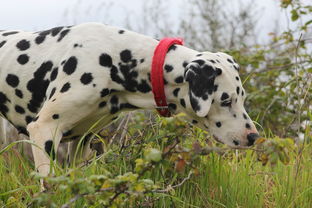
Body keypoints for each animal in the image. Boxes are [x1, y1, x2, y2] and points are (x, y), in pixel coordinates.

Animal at [0, 22, 258, 179]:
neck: (113, 57)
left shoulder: (82, 141)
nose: (254, 136)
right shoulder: (44, 129)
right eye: (226, 100)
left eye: (242, 98)